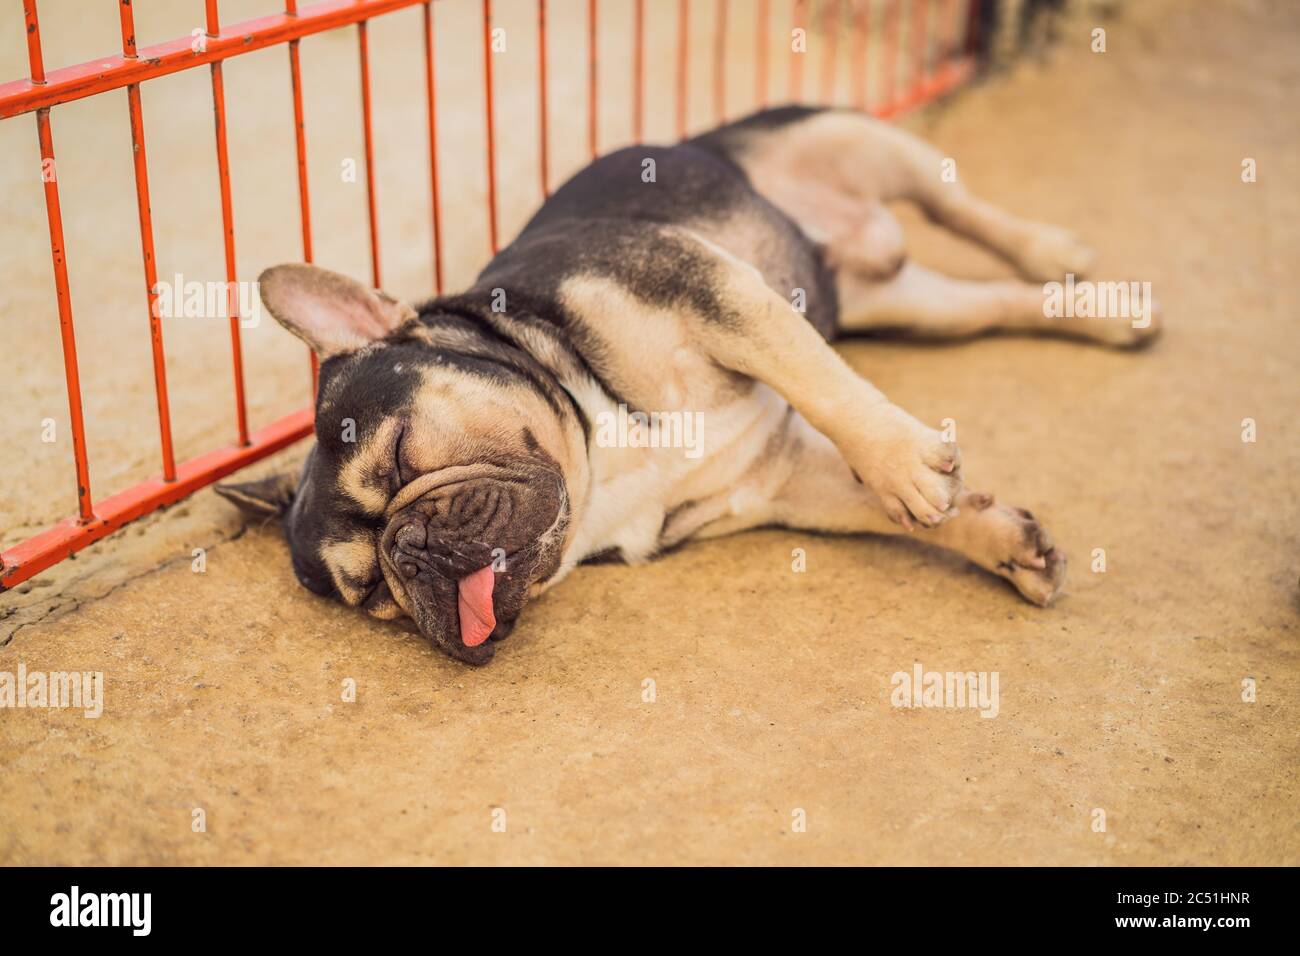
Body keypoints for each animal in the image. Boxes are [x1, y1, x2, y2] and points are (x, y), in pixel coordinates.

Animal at [218, 102, 1164, 658]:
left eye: (404, 458)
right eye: (375, 594)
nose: (408, 550)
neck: (597, 453)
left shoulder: (712, 290)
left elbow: (825, 386)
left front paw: (903, 464)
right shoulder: (784, 481)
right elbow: (881, 507)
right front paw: (1001, 541)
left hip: (858, 141)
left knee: (962, 208)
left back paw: (1054, 248)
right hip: (910, 306)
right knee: (989, 301)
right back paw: (1108, 311)